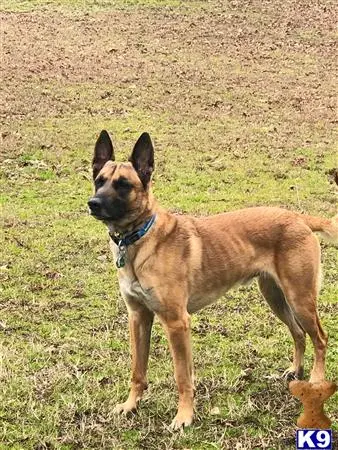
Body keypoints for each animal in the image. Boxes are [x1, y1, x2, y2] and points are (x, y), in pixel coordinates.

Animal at [88, 129, 338, 428]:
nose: (93, 204)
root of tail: (299, 218)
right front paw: (130, 405)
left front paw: (184, 416)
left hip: (300, 298)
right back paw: (294, 371)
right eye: (99, 180)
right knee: (298, 334)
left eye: (123, 185)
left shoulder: (177, 323)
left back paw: (315, 380)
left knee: (320, 338)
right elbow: (138, 370)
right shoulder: (137, 317)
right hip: (276, 297)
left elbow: (182, 376)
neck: (139, 238)